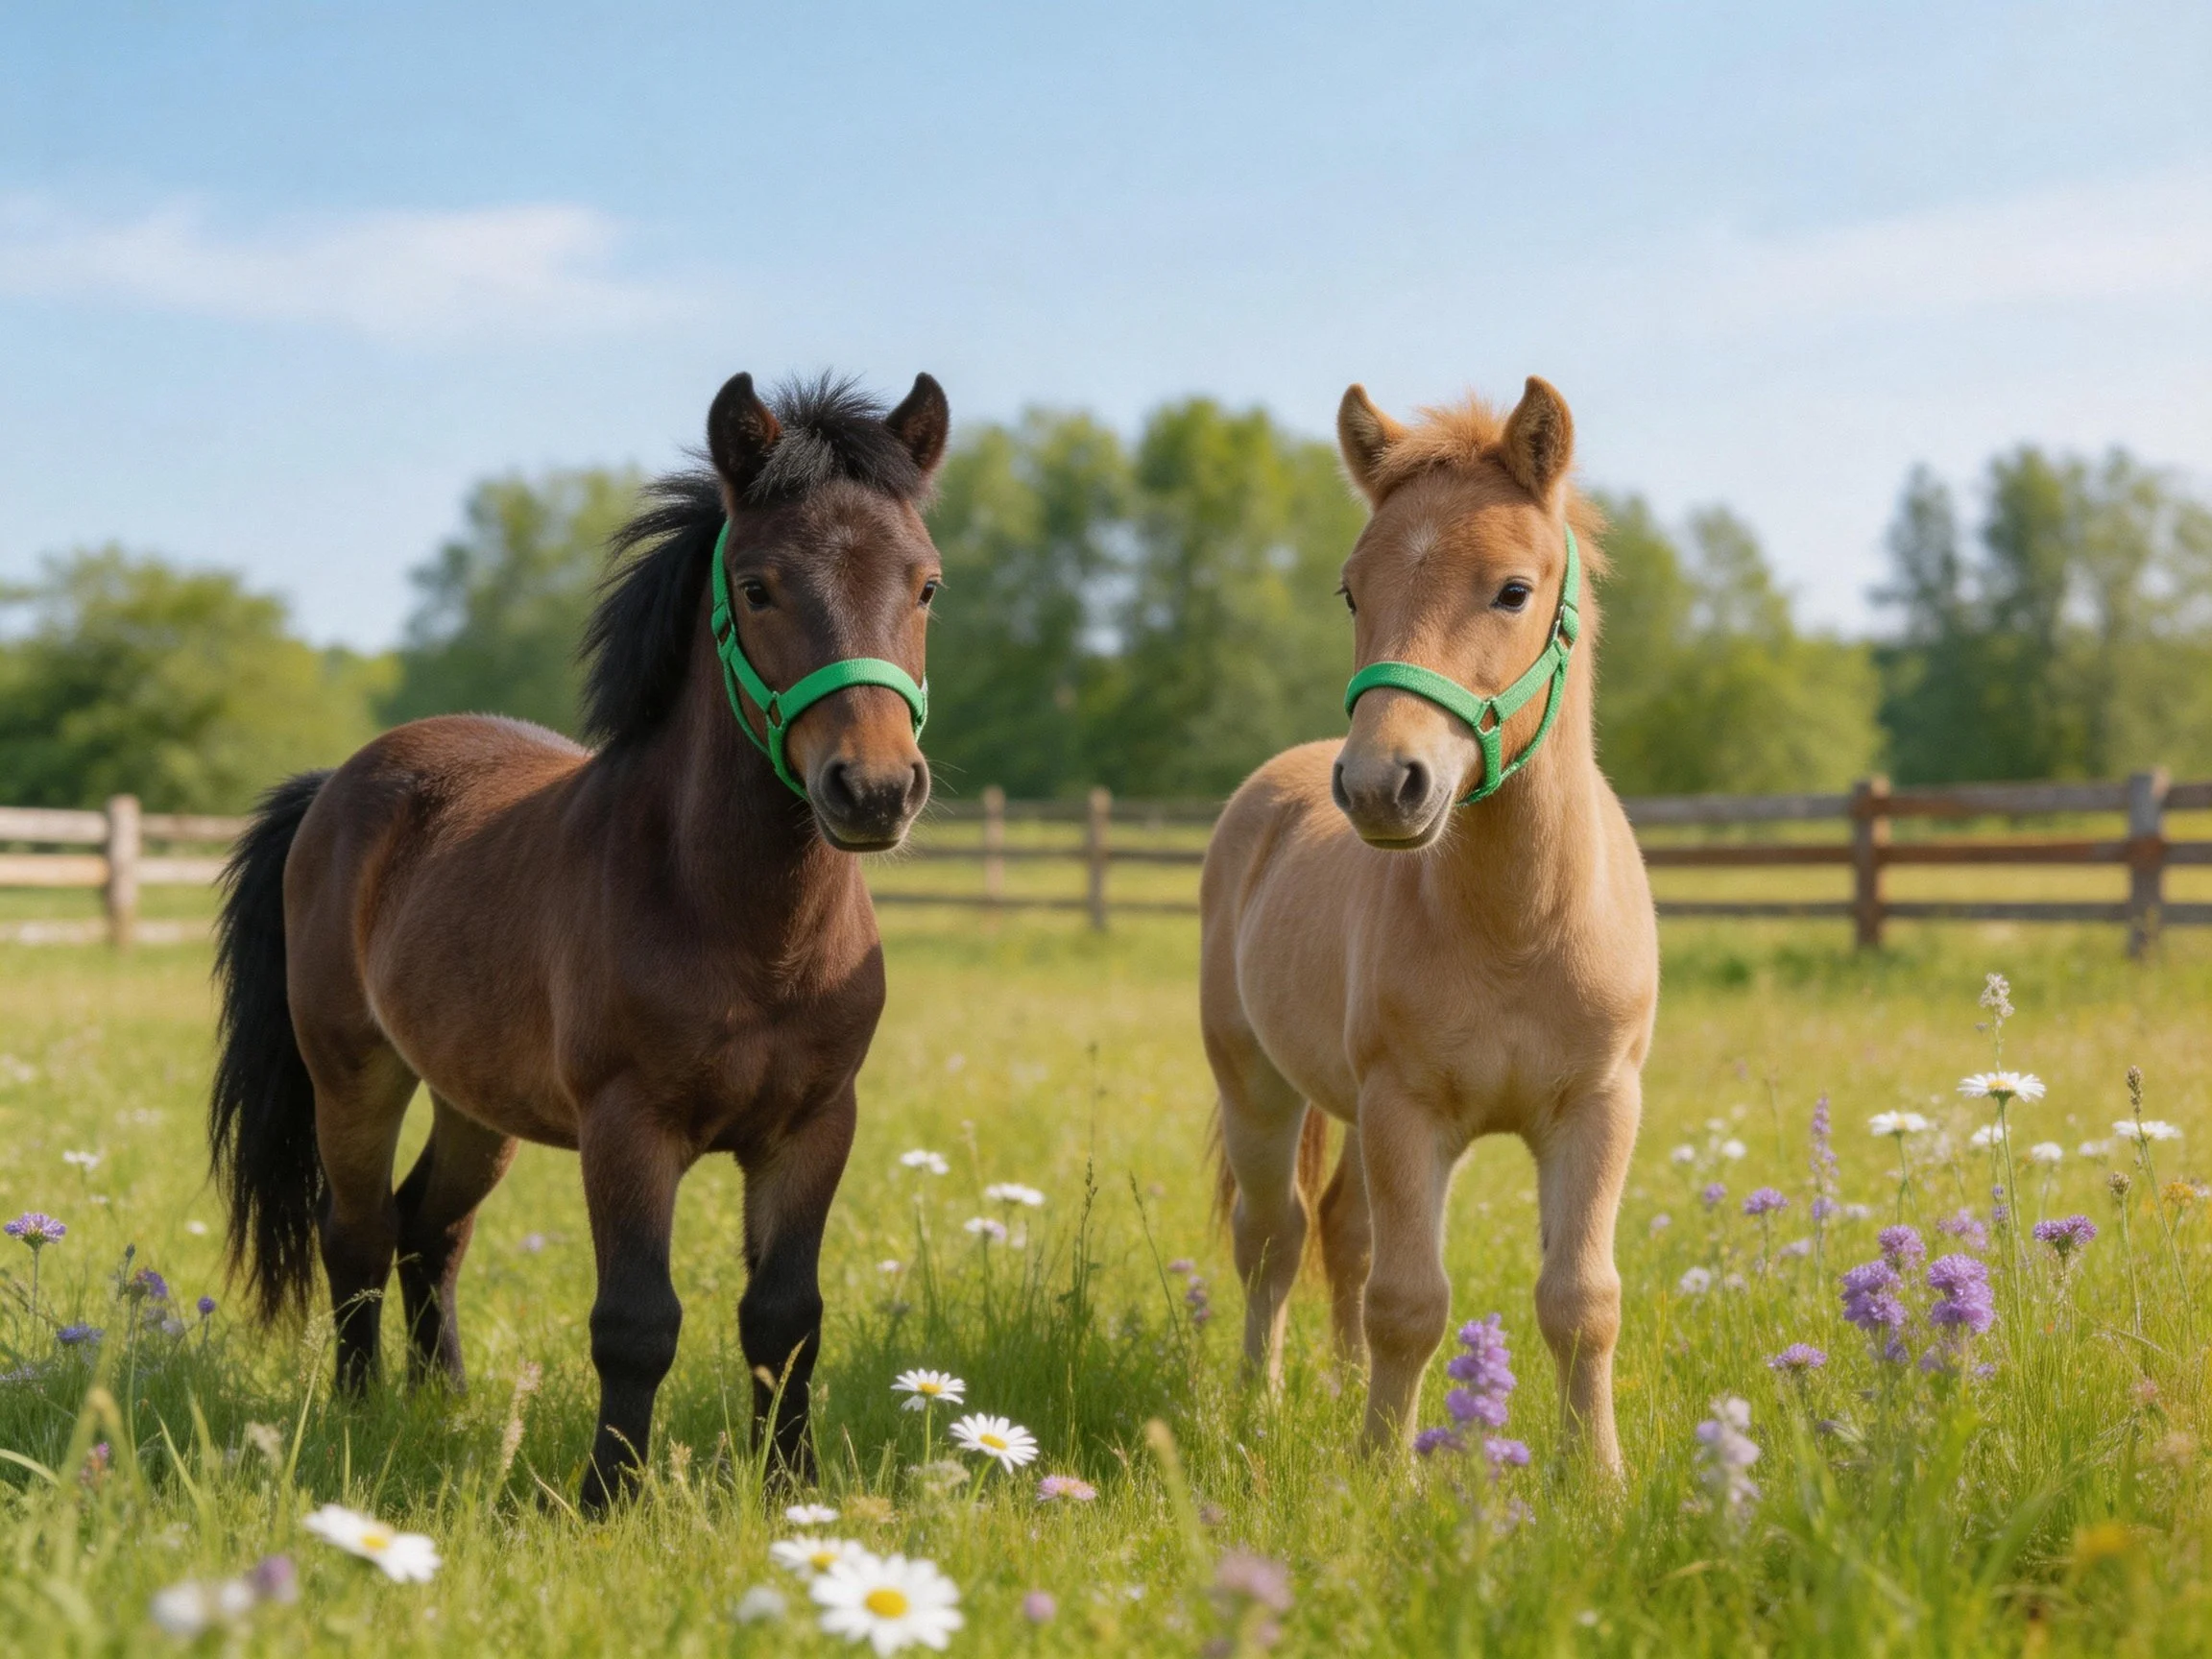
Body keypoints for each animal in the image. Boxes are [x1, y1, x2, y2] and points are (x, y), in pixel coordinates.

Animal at [208, 371, 950, 1510]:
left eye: (925, 587)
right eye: (759, 588)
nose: (872, 790)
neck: (744, 928)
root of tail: (338, 784)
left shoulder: (815, 1125)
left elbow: (786, 1320)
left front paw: (794, 1491)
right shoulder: (627, 1128)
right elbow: (637, 1323)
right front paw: (609, 1497)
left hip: (478, 1101)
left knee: (432, 1228)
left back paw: (445, 1403)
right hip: (354, 1074)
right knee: (360, 1234)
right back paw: (359, 1414)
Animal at [1200, 376, 1657, 1469]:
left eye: (1513, 591)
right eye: (1351, 592)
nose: (1380, 784)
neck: (1522, 928)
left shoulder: (1600, 1106)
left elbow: (1582, 1301)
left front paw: (1600, 1479)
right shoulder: (1406, 1110)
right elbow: (1408, 1303)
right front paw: (1381, 1475)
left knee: (1341, 1233)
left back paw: (1335, 1390)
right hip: (1258, 1087)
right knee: (1274, 1240)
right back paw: (1260, 1406)